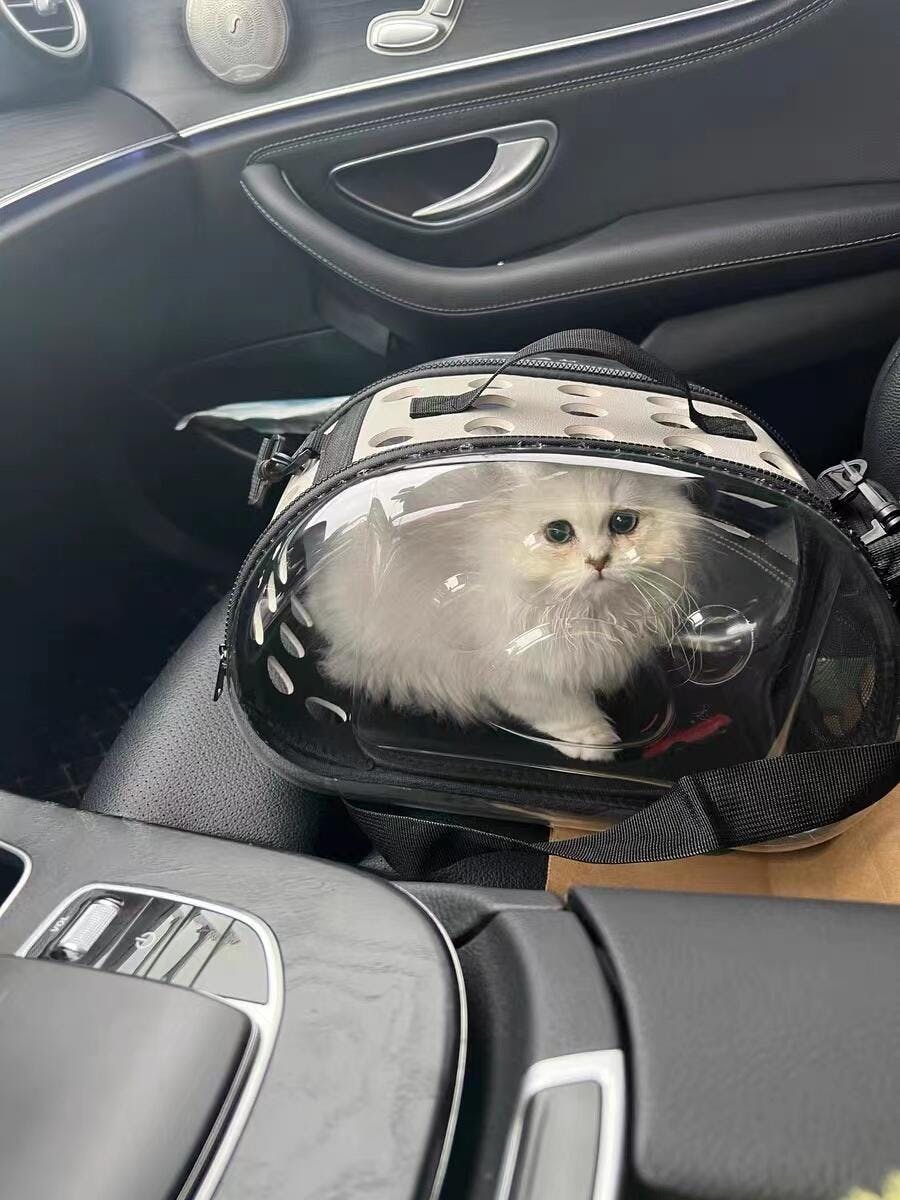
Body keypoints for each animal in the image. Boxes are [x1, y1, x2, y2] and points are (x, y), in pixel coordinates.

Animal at [304, 459, 698, 761]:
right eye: (558, 533)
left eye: (623, 523)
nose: (599, 561)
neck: (590, 614)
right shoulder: (514, 668)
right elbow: (564, 711)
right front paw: (596, 743)